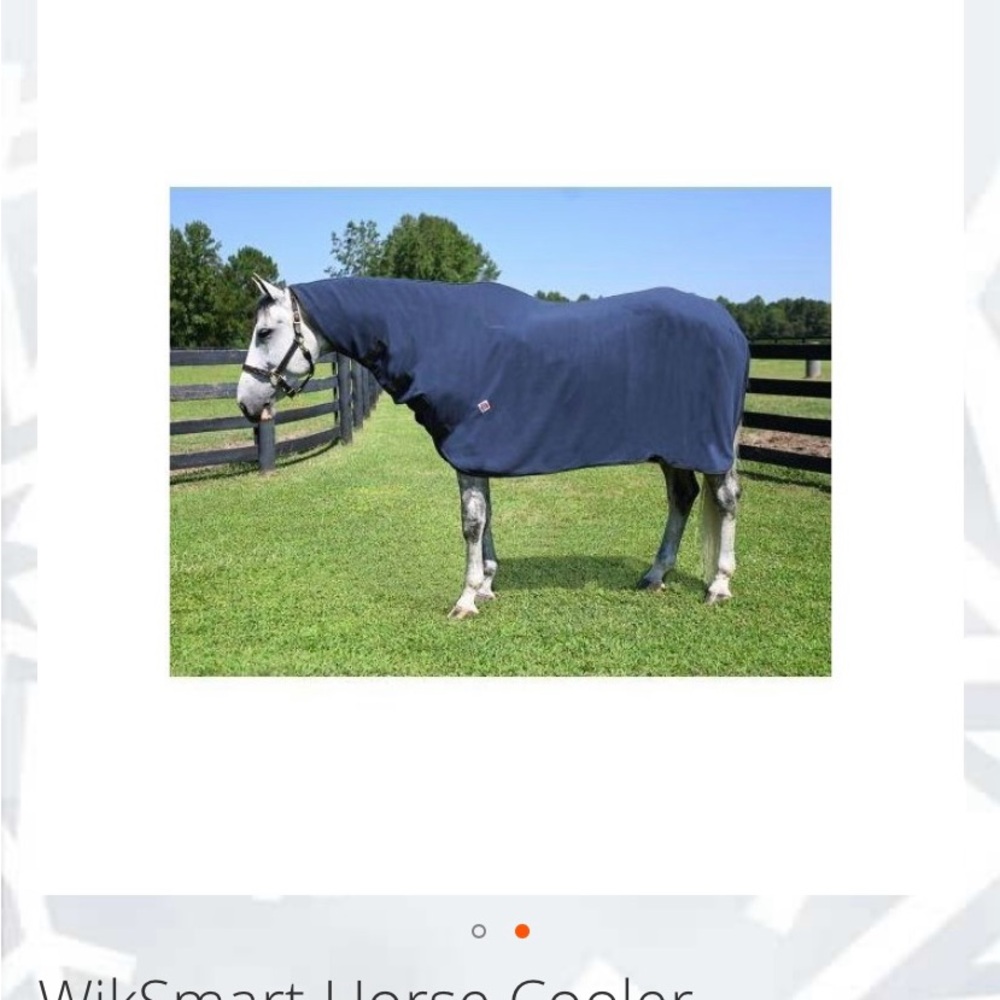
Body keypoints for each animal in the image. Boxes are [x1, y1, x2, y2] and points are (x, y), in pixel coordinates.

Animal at [236, 275, 749, 619]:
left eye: (265, 332)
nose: (245, 403)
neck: (440, 337)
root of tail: (730, 326)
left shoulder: (469, 448)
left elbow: (471, 523)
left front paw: (466, 598)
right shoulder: (476, 451)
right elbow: (486, 518)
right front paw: (485, 584)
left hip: (711, 445)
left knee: (724, 500)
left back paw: (719, 586)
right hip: (674, 447)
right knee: (682, 497)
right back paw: (655, 575)